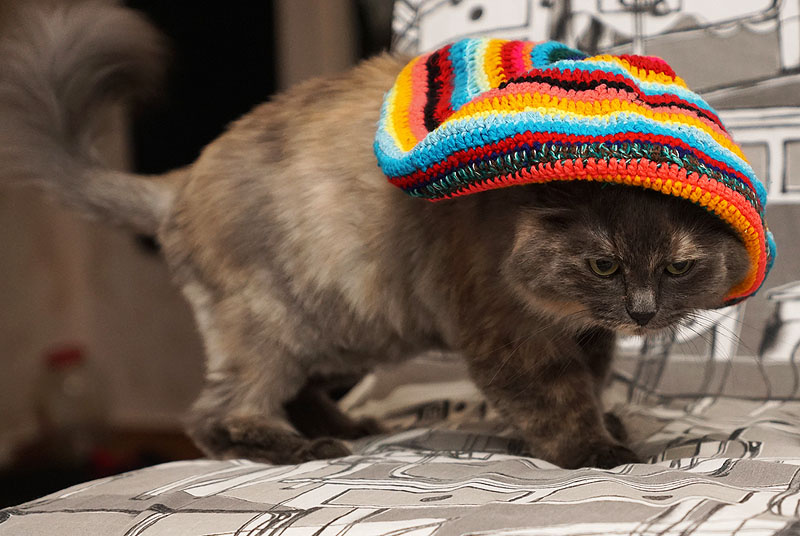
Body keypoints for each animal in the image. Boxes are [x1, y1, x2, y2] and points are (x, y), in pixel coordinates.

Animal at [0, 3, 752, 469]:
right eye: (604, 265)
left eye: (677, 268)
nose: (643, 313)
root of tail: (180, 180)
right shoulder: (513, 335)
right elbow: (560, 400)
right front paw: (598, 451)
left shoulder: (585, 336)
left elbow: (591, 385)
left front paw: (610, 422)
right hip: (268, 327)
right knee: (218, 415)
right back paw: (305, 448)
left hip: (335, 331)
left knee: (292, 393)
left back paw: (351, 427)